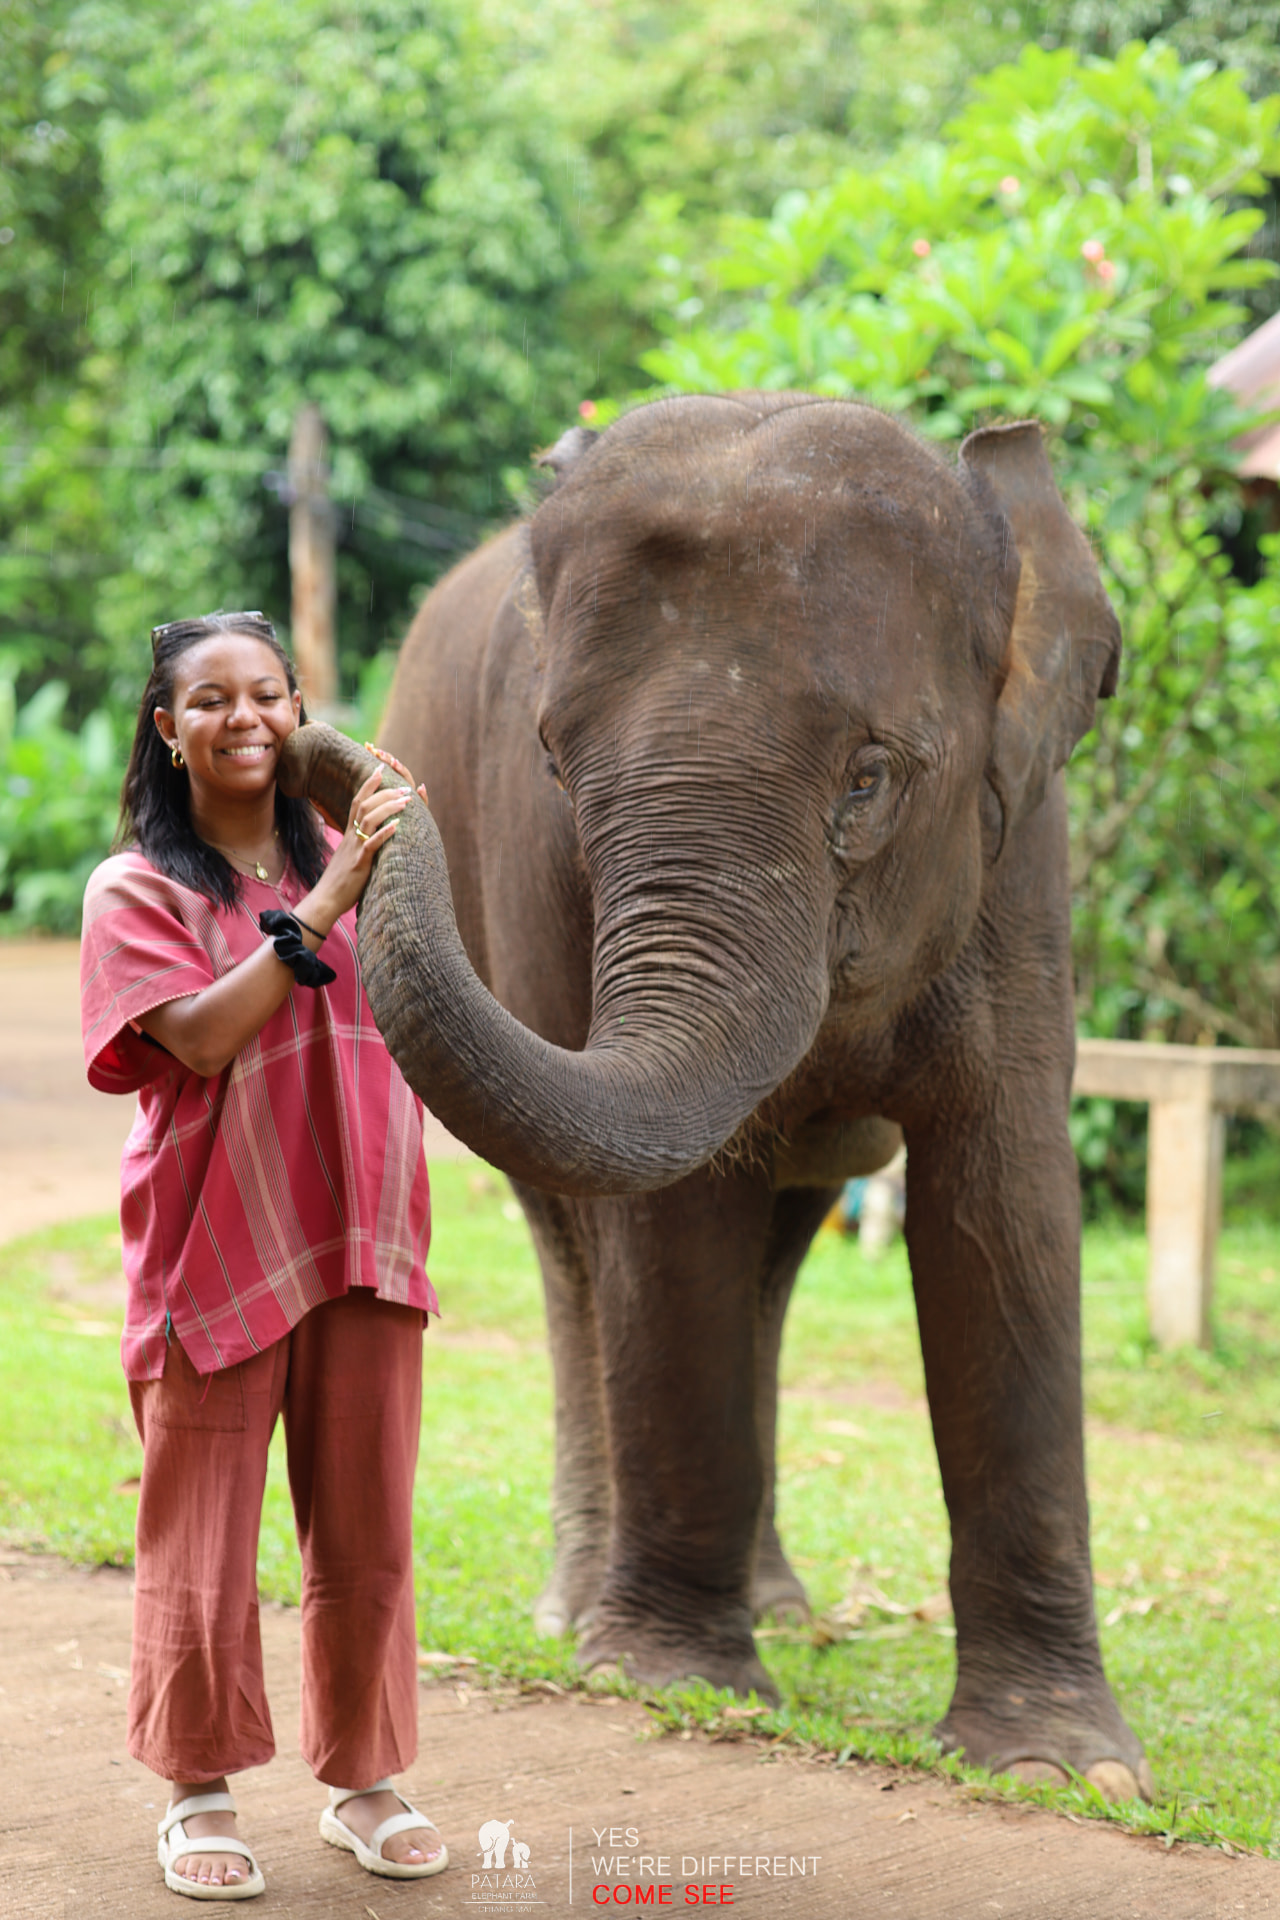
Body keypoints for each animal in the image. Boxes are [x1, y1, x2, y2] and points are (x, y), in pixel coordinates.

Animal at [280, 392, 1152, 1800]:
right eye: (553, 761)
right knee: (576, 1254)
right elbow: (670, 1227)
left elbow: (1004, 1204)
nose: (306, 735)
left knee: (777, 1250)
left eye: (869, 776)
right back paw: (580, 1607)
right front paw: (667, 1680)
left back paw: (780, 1605)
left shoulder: (1021, 852)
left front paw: (1058, 1768)